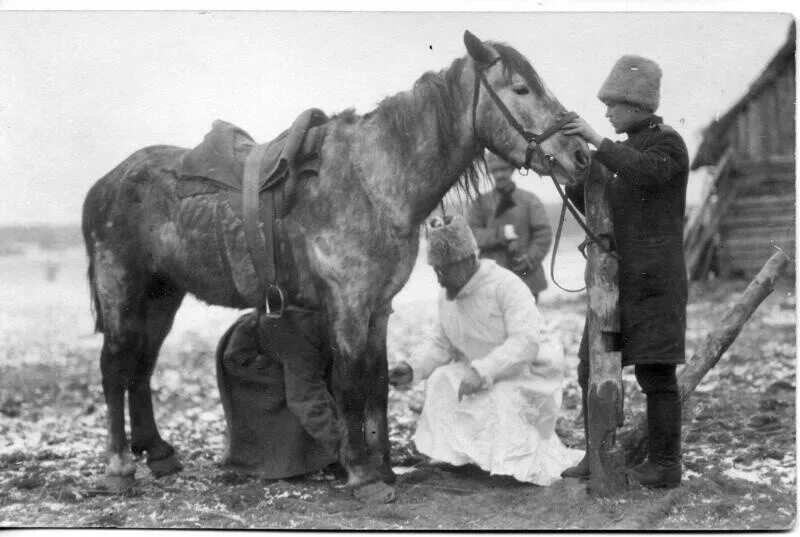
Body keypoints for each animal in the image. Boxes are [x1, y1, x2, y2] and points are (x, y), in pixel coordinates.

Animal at [81, 31, 592, 500]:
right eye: (521, 89)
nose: (581, 155)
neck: (372, 182)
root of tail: (107, 182)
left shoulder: (378, 307)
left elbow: (378, 382)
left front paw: (383, 466)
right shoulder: (347, 305)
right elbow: (350, 382)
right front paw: (362, 473)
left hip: (161, 295)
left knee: (142, 366)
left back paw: (158, 453)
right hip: (122, 290)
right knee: (115, 367)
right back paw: (119, 467)